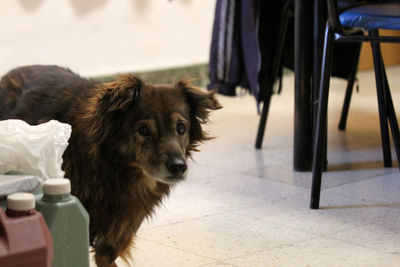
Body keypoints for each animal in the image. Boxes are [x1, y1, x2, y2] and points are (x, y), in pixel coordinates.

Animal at [0, 65, 222, 267]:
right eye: (143, 129)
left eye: (181, 128)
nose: (178, 167)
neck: (113, 170)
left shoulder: (119, 228)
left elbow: (105, 256)